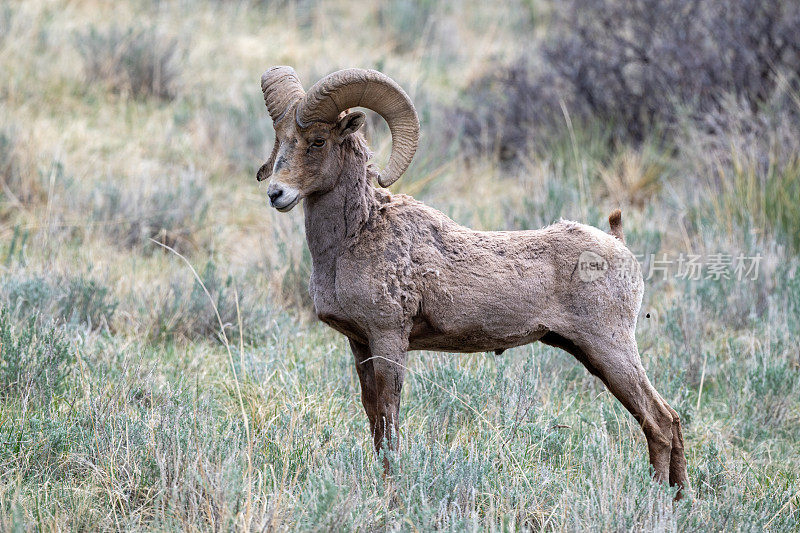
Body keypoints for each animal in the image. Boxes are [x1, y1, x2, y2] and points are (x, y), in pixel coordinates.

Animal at [255, 65, 688, 494]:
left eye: (317, 141)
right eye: (281, 139)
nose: (276, 194)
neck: (354, 237)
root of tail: (619, 244)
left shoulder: (389, 340)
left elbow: (390, 424)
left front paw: (393, 493)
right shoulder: (360, 345)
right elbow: (376, 423)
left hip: (610, 348)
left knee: (659, 420)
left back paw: (658, 498)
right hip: (588, 352)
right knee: (668, 420)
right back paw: (681, 497)